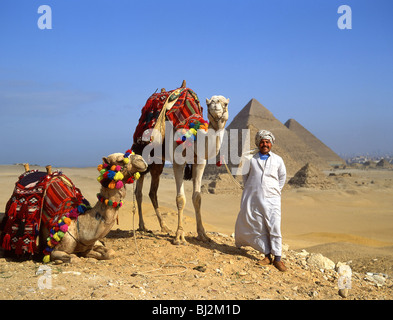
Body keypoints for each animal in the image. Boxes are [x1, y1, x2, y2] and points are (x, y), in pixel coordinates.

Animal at [133, 82, 228, 245]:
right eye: (209, 103)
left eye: (225, 103)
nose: (216, 106)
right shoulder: (178, 161)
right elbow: (180, 198)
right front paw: (179, 235)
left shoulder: (200, 162)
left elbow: (197, 197)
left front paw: (202, 234)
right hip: (143, 152)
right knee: (139, 191)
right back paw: (143, 226)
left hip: (159, 161)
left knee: (152, 192)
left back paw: (163, 226)